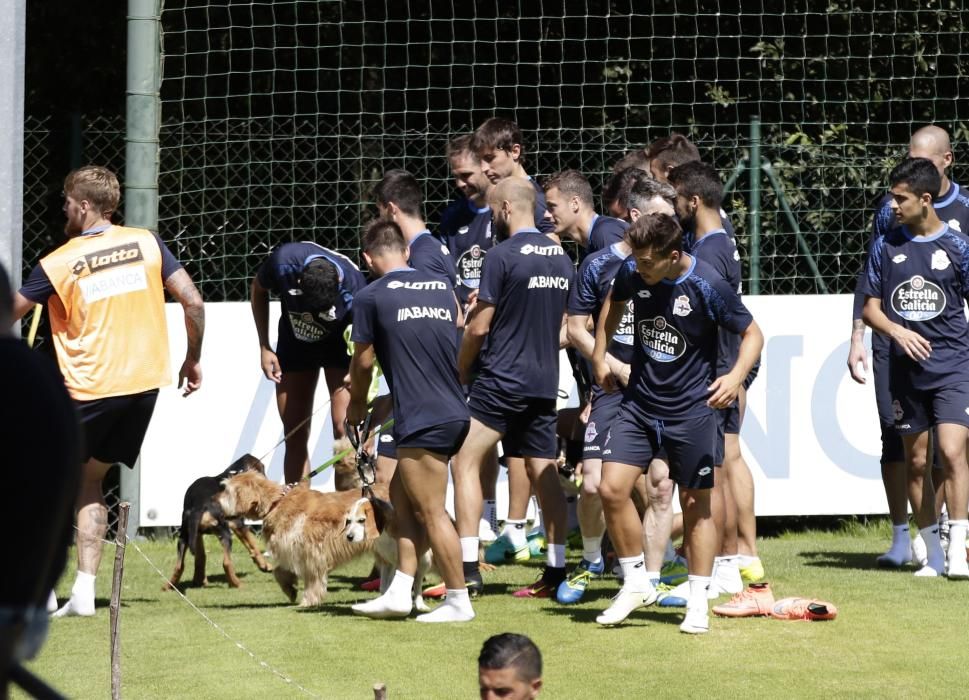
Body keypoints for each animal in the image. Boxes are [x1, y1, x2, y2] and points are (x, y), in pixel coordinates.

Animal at [164, 454, 272, 592]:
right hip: (225, 532)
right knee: (226, 562)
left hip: (184, 536)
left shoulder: (198, 533)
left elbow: (200, 557)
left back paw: (168, 586)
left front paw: (199, 580)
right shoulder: (237, 523)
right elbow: (253, 544)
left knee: (179, 565)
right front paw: (265, 566)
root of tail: (199, 506)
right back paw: (237, 584)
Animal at [219, 470, 398, 608]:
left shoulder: (311, 554)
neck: (276, 503)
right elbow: (279, 571)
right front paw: (290, 589)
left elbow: (312, 580)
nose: (216, 503)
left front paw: (307, 601)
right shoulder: (292, 551)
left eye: (227, 492)